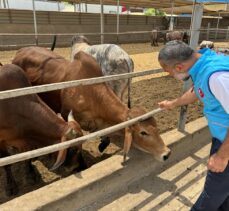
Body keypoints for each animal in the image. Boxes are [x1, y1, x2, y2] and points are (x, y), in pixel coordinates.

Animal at [0, 63, 83, 195]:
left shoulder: (25, 140)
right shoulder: (1, 140)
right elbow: (7, 164)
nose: (83, 167)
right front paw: (11, 185)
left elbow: (27, 157)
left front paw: (30, 174)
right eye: (74, 149)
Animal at [11, 46, 171, 166]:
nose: (167, 153)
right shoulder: (67, 115)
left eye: (156, 126)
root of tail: (20, 52)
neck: (91, 93)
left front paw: (102, 144)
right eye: (143, 132)